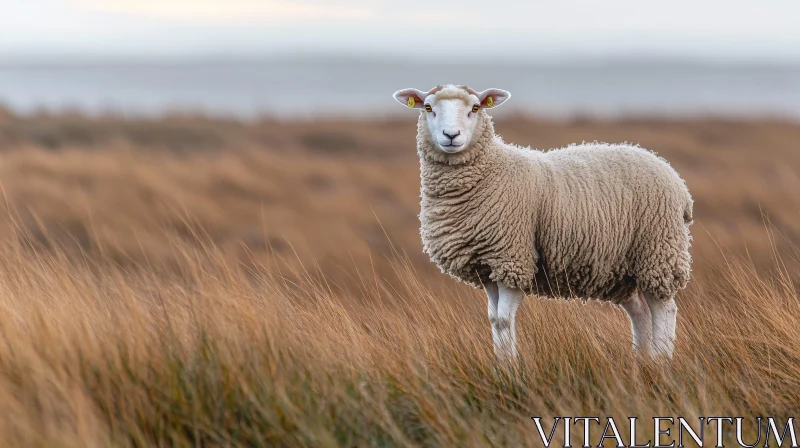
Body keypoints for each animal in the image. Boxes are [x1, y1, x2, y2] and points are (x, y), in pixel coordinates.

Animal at [390, 86, 692, 362]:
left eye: (475, 108)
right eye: (428, 107)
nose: (451, 136)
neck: (490, 171)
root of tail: (677, 181)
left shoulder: (513, 258)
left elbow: (504, 319)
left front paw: (511, 370)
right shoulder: (486, 266)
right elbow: (493, 319)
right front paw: (502, 366)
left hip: (657, 251)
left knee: (664, 309)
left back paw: (662, 362)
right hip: (623, 268)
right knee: (640, 312)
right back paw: (641, 363)